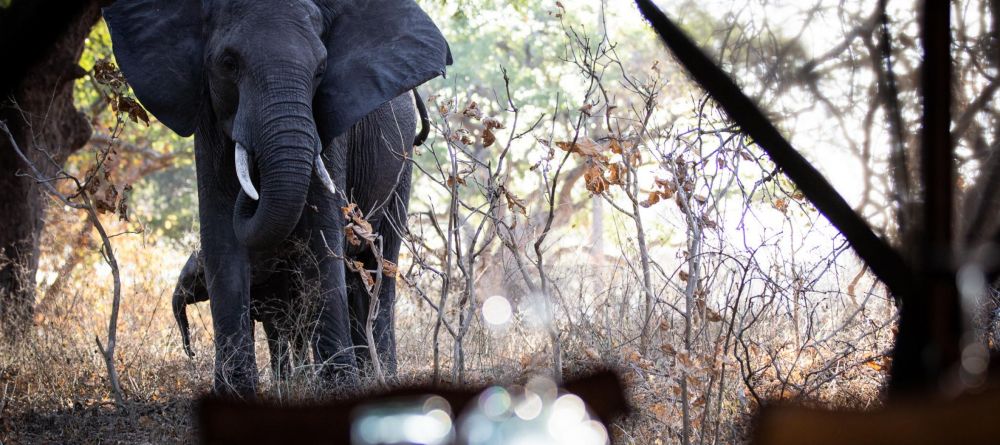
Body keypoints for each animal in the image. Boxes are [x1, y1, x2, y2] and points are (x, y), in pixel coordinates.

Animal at [103, 0, 452, 396]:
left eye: (320, 70)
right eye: (228, 63)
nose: (253, 188)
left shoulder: (328, 129)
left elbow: (321, 234)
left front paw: (339, 390)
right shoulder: (208, 118)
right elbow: (222, 237)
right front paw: (236, 394)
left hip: (401, 161)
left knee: (379, 260)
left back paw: (380, 377)